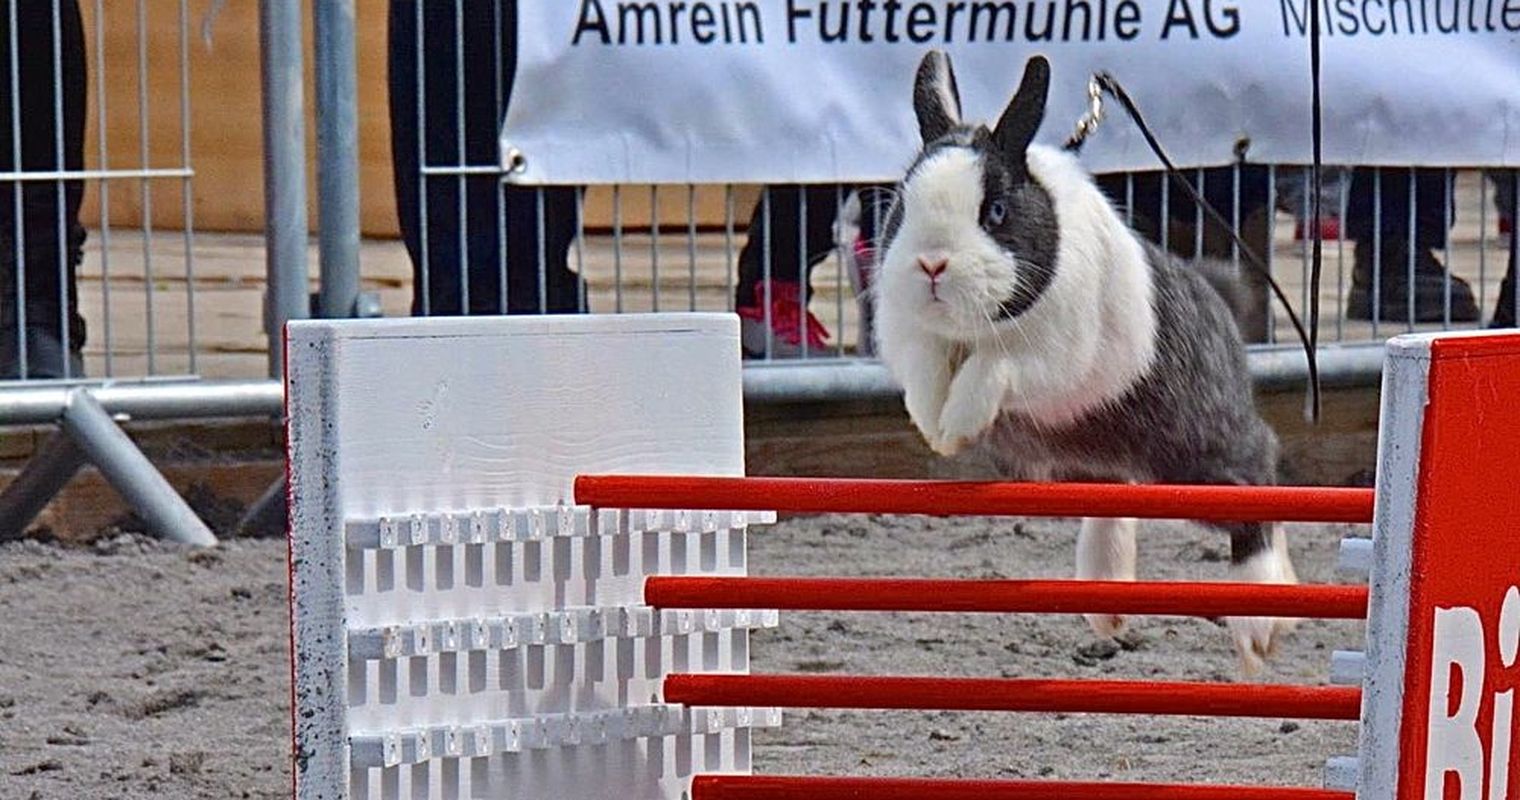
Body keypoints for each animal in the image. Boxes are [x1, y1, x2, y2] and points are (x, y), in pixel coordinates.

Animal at [875, 50, 1301, 678]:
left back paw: (1261, 623)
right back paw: (1107, 609)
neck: (976, 326)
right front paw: (937, 427)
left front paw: (958, 426)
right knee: (1112, 504)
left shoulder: (1049, 357)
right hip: (1101, 464)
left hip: (1196, 460)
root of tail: (1218, 297)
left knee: (1259, 483)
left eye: (995, 210)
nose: (932, 263)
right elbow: (927, 375)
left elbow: (994, 369)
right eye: (904, 203)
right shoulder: (918, 342)